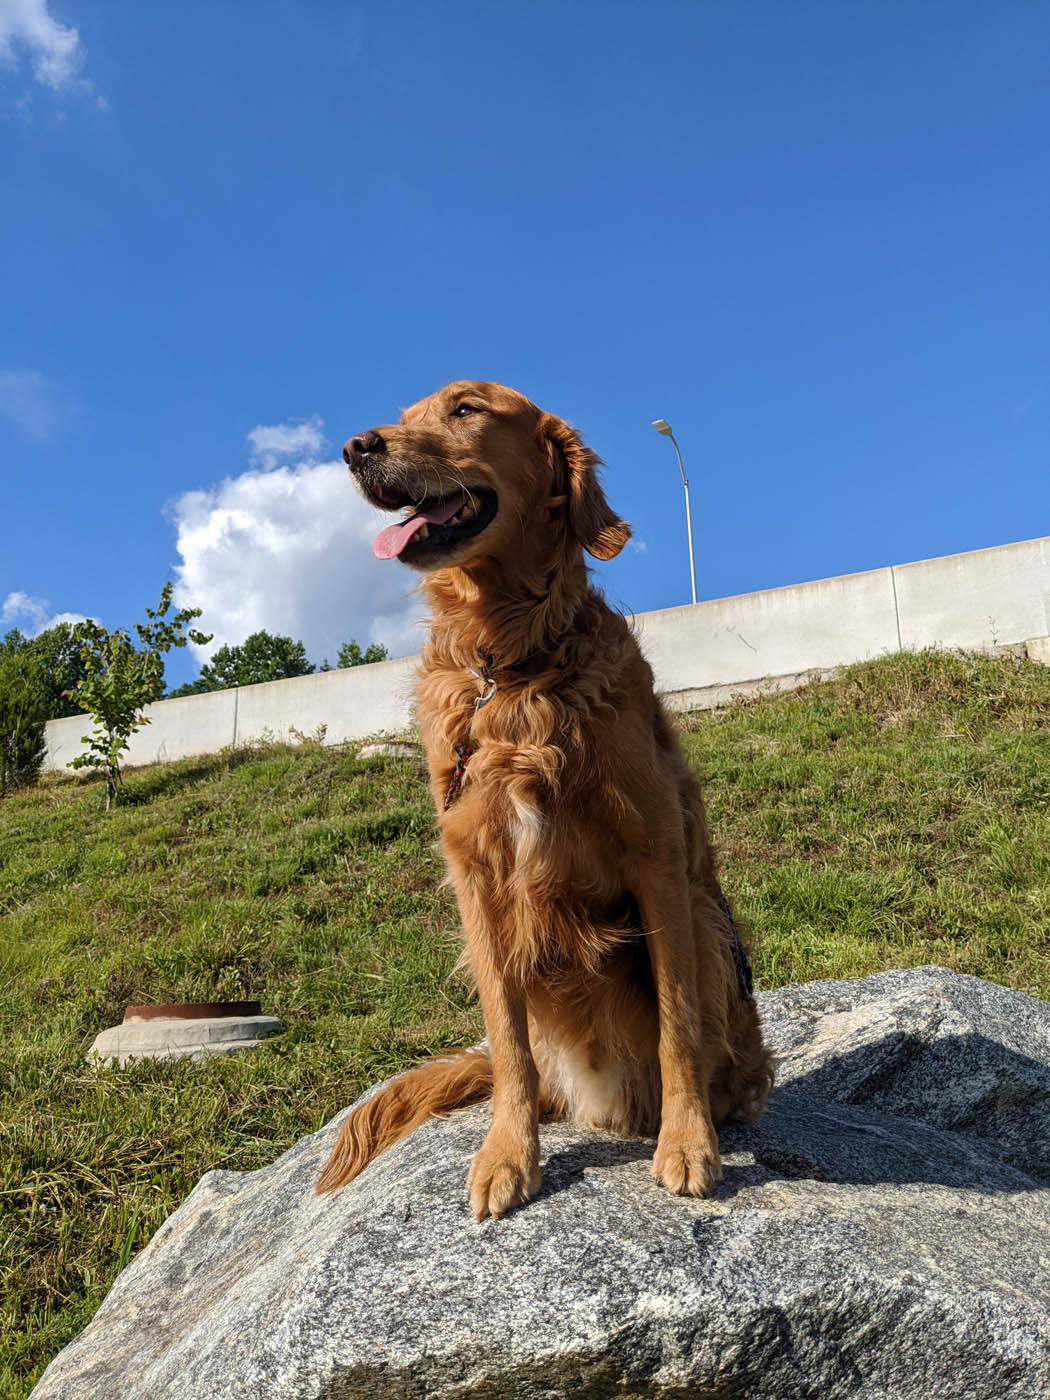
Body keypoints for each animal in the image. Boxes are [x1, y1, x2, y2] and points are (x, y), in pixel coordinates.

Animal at [319, 380, 772, 1215]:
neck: (510, 665)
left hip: (706, 919)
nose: (357, 447)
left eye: (465, 409)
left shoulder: (658, 858)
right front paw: (508, 1154)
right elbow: (507, 1042)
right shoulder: (475, 877)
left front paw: (688, 1143)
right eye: (407, 413)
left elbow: (679, 1023)